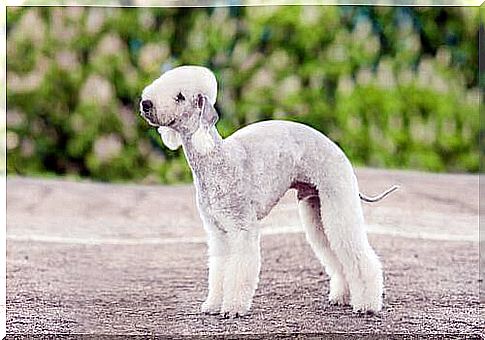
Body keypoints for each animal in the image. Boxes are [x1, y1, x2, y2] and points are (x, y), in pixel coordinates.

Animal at [138, 65, 396, 318]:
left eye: (180, 97)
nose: (145, 104)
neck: (215, 160)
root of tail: (338, 150)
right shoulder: (217, 231)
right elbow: (220, 269)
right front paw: (213, 304)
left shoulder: (242, 227)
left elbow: (240, 268)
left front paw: (233, 308)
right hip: (316, 208)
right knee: (334, 253)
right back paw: (342, 296)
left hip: (338, 201)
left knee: (358, 254)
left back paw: (367, 305)